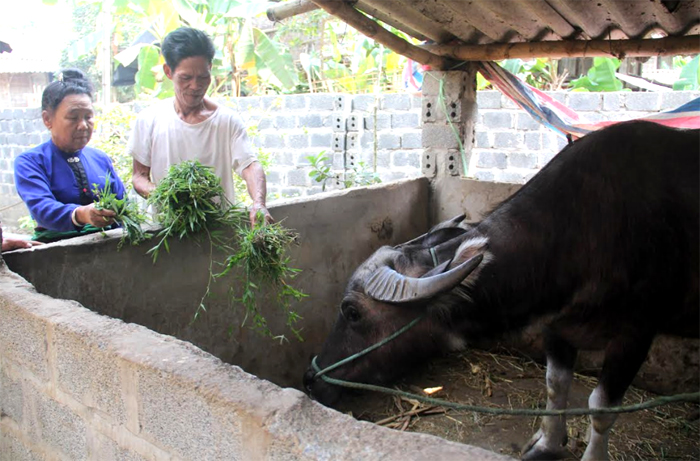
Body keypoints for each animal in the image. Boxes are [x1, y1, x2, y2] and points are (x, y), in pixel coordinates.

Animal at [304, 120, 700, 458]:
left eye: (352, 312)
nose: (310, 377)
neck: (583, 231)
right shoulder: (556, 327)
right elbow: (555, 385)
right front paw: (548, 444)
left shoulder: (635, 336)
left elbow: (601, 409)